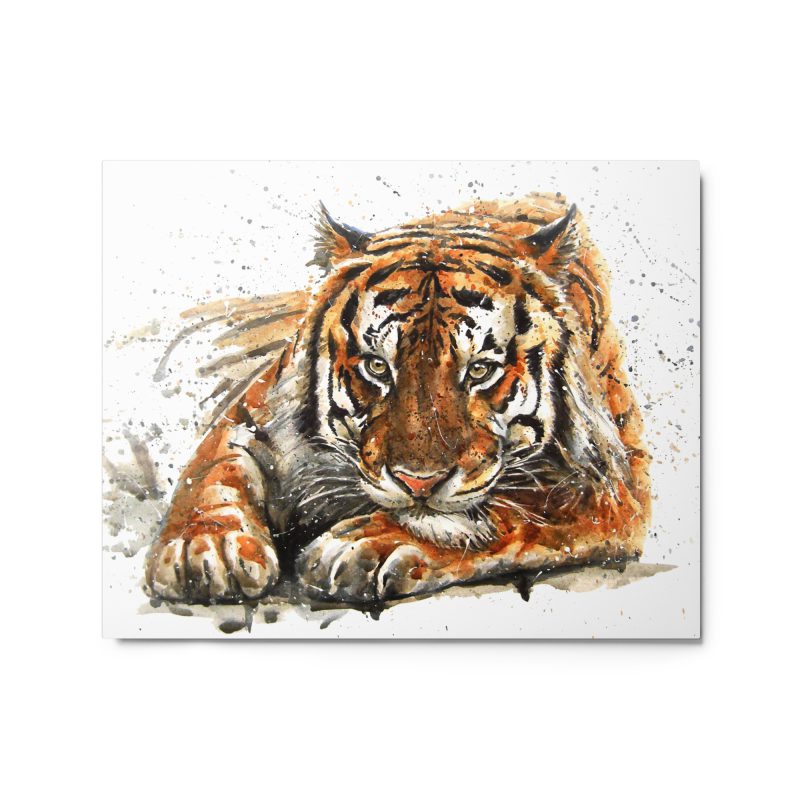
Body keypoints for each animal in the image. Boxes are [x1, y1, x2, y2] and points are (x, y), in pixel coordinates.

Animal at [145, 191, 651, 606]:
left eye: (480, 370)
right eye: (377, 366)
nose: (418, 484)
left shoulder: (610, 484)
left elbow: (512, 510)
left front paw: (369, 544)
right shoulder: (252, 411)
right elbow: (213, 469)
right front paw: (205, 547)